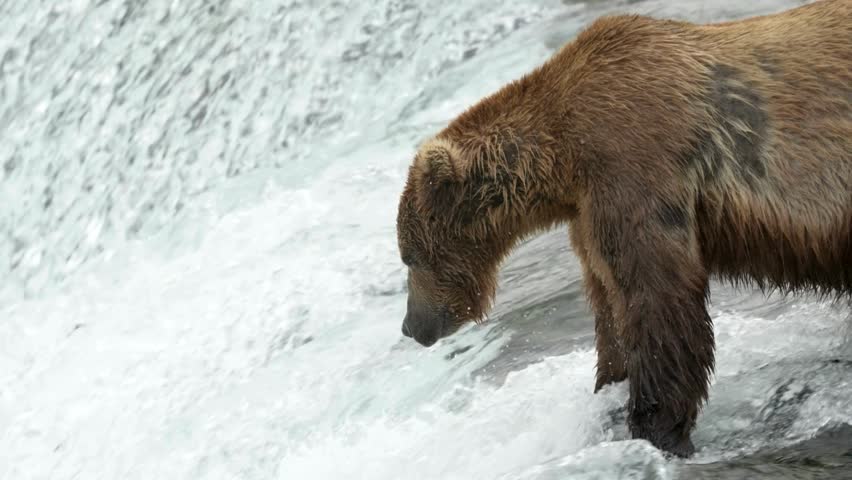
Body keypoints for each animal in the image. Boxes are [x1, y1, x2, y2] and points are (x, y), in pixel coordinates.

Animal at [395, 0, 851, 458]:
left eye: (409, 257)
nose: (411, 326)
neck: (565, 156)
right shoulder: (588, 215)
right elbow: (610, 303)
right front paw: (610, 386)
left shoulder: (634, 167)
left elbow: (657, 300)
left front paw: (656, 427)